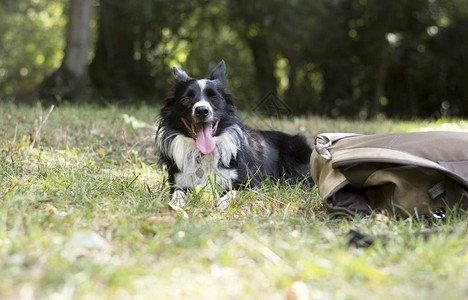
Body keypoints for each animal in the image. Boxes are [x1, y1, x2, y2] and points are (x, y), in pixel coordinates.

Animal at [155, 59, 312, 207]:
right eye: (186, 99)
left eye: (214, 98)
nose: (202, 111)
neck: (204, 154)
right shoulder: (178, 183)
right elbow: (178, 193)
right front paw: (176, 203)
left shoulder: (253, 184)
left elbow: (235, 192)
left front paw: (223, 203)